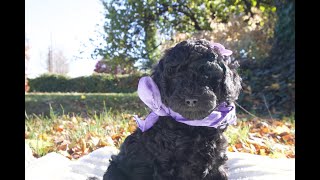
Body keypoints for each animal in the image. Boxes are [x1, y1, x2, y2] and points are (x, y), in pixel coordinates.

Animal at [104, 38, 241, 179]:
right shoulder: (166, 165)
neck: (193, 125)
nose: (191, 100)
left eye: (207, 76)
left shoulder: (216, 160)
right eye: (176, 78)